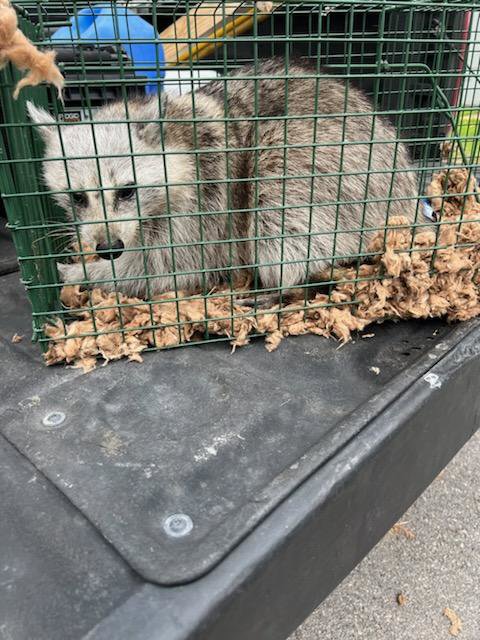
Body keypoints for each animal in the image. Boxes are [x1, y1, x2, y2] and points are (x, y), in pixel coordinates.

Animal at [28, 58, 418, 299]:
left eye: (127, 191)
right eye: (77, 197)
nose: (108, 249)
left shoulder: (204, 202)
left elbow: (163, 270)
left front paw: (83, 274)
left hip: (323, 165)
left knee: (278, 220)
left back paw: (280, 287)